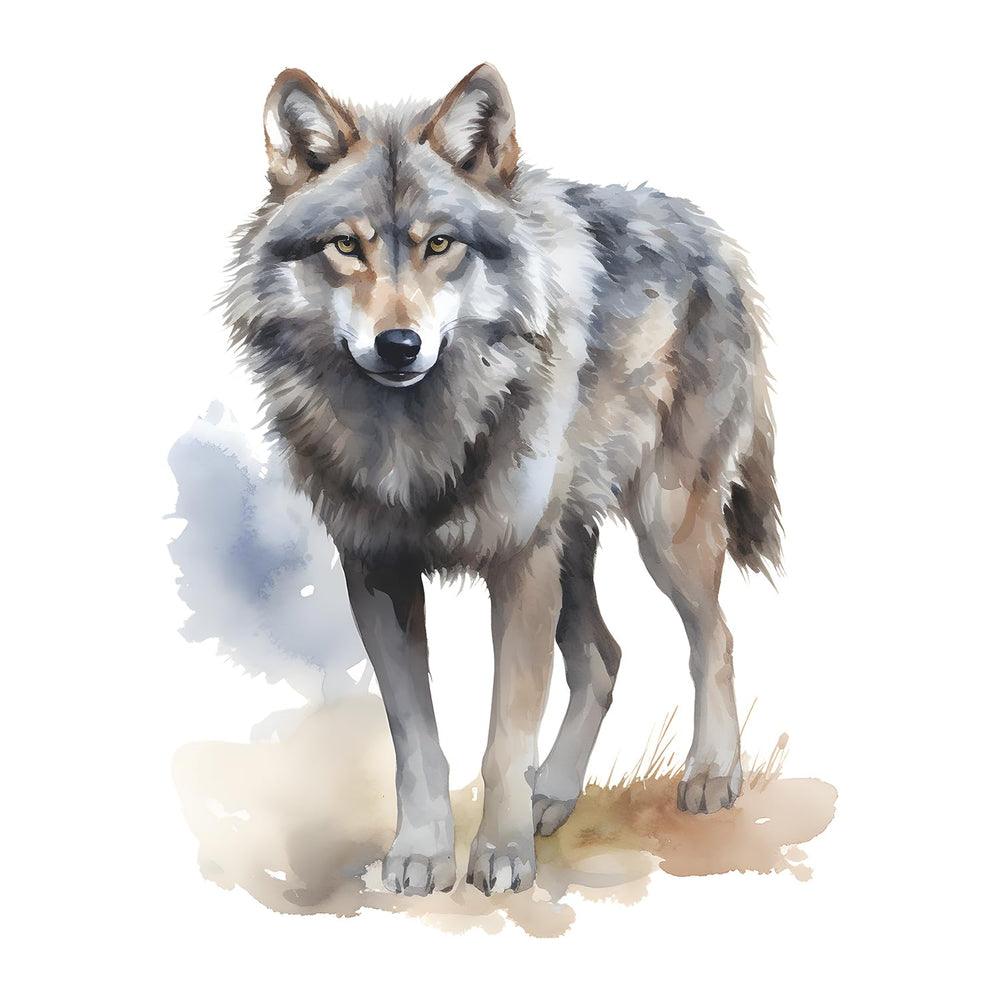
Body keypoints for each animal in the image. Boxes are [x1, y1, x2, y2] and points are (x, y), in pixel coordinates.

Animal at [224, 64, 781, 897]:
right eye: (346, 246)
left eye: (440, 244)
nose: (399, 344)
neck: (413, 434)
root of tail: (705, 230)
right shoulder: (377, 573)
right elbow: (416, 743)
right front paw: (421, 855)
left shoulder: (519, 565)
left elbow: (503, 738)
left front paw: (501, 855)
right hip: (572, 543)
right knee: (603, 659)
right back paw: (555, 792)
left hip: (663, 529)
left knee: (714, 637)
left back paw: (712, 774)